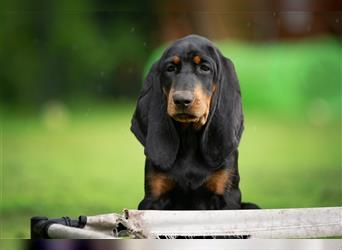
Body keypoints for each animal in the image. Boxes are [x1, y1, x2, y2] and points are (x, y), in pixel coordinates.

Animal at [132, 34, 260, 211]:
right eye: (170, 68)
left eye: (205, 68)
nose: (181, 100)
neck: (190, 138)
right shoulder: (153, 199)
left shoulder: (227, 197)